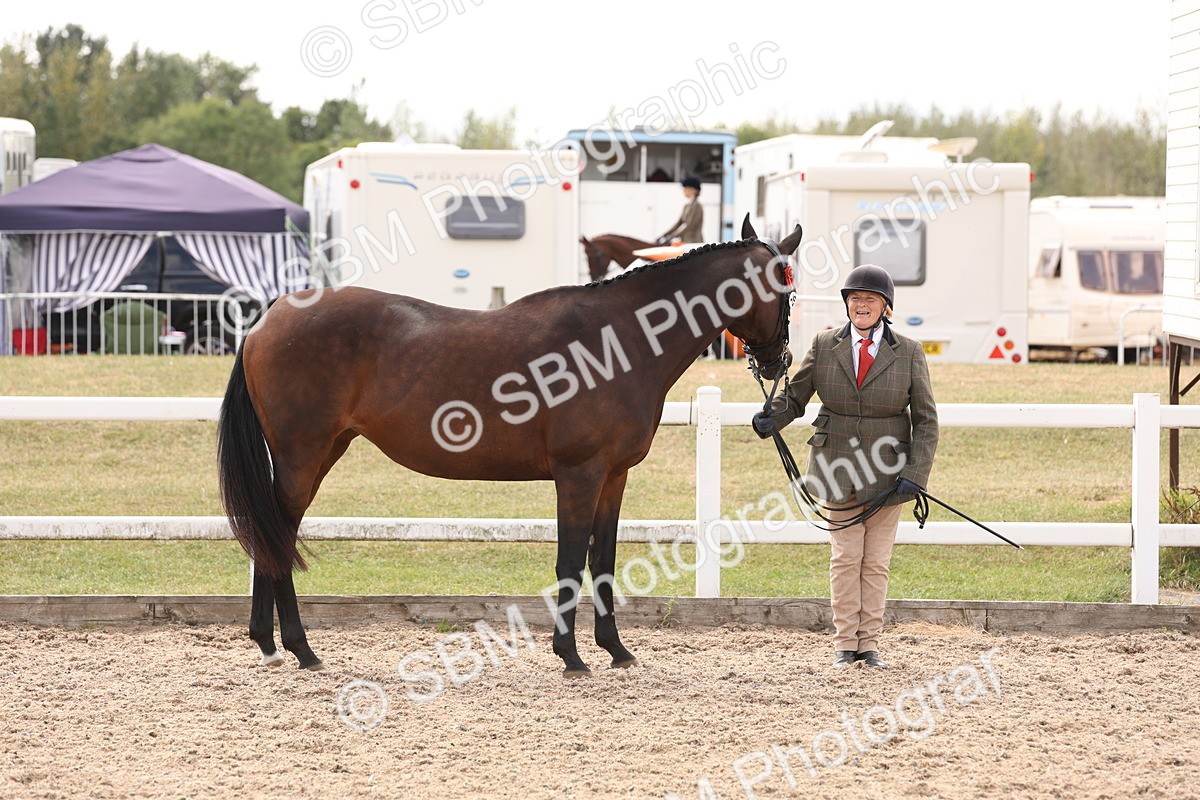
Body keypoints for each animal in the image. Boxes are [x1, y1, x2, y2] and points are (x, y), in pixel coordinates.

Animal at [217, 217, 803, 676]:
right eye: (786, 289)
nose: (777, 361)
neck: (619, 341)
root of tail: (268, 318)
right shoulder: (579, 474)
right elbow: (570, 560)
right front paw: (571, 656)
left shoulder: (614, 476)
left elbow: (603, 559)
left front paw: (615, 650)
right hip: (302, 455)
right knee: (278, 531)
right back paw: (301, 648)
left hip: (322, 451)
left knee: (273, 532)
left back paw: (270, 644)